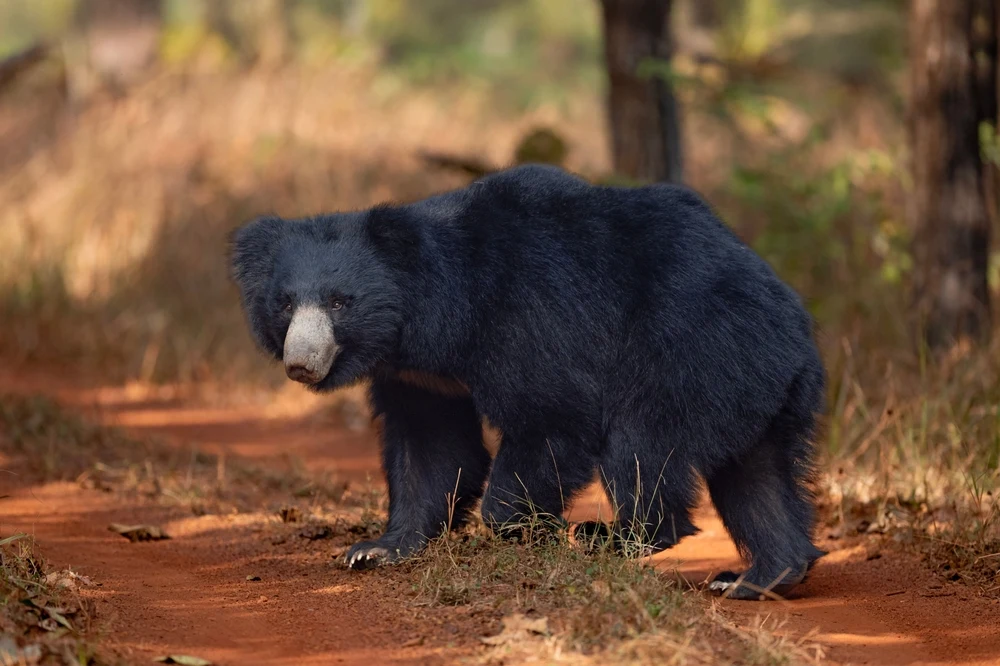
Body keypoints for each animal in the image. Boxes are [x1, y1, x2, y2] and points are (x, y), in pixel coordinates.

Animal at [229, 163, 827, 601]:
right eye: (285, 303)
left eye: (339, 302)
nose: (300, 363)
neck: (426, 320)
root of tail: (792, 319)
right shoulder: (419, 376)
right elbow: (430, 448)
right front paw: (374, 549)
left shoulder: (525, 317)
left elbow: (550, 417)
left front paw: (523, 529)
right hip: (754, 386)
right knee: (757, 476)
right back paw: (759, 577)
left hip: (688, 352)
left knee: (643, 447)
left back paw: (614, 537)